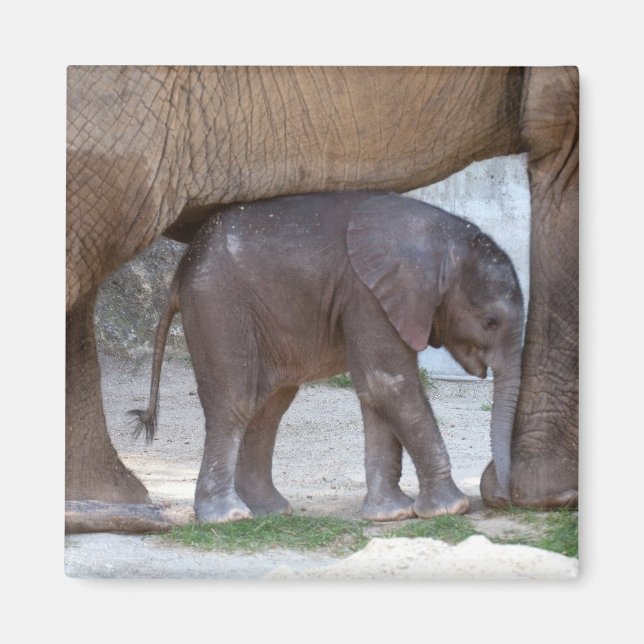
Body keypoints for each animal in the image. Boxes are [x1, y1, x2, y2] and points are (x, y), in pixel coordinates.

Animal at [130, 191, 525, 523]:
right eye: (490, 321)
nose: (500, 493)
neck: (440, 238)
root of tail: (180, 272)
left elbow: (375, 394)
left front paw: (391, 514)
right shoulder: (368, 296)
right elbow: (388, 385)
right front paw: (450, 509)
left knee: (269, 408)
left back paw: (270, 511)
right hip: (218, 305)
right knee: (236, 402)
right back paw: (228, 516)